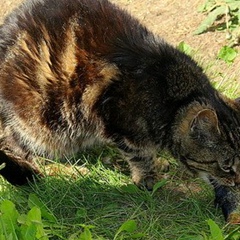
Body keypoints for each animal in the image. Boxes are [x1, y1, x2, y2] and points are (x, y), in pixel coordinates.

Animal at [0, 0, 240, 221]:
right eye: (226, 167)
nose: (238, 182)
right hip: (41, 124)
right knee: (14, 145)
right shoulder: (123, 126)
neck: (176, 100)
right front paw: (148, 181)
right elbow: (141, 157)